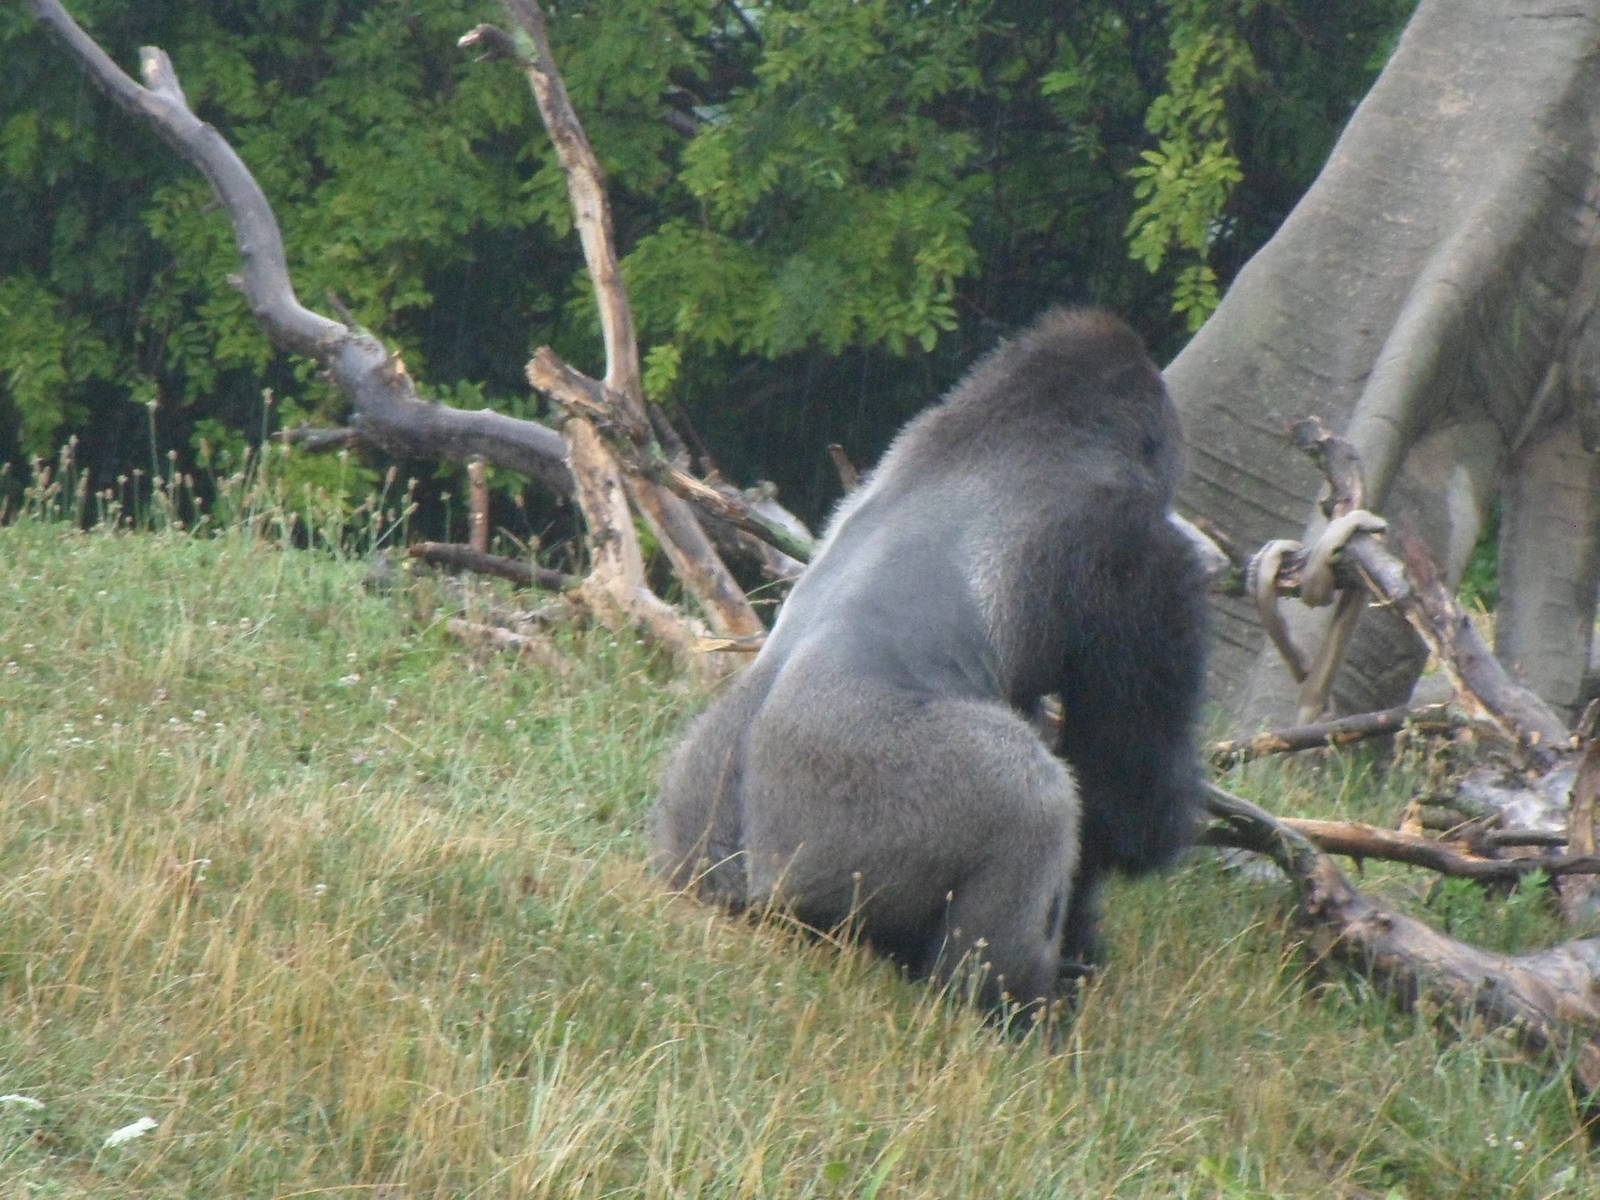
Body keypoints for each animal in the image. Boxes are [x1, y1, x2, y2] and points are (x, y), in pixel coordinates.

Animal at [650, 307, 1208, 1021]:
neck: (1020, 427)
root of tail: (745, 889)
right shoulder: (1140, 553)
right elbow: (1125, 792)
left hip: (692, 829)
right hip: (841, 829)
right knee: (1033, 791)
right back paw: (1008, 1008)